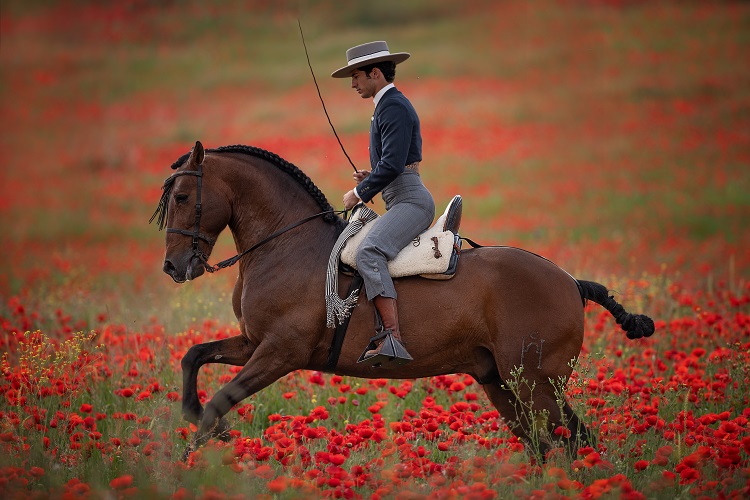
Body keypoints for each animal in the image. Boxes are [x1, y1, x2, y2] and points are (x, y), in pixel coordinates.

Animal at [151, 143, 652, 458]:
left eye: (182, 196)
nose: (173, 267)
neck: (287, 245)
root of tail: (569, 281)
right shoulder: (252, 345)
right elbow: (194, 356)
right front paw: (193, 418)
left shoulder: (280, 353)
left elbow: (219, 401)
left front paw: (200, 448)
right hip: (503, 383)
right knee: (546, 446)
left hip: (535, 384)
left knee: (572, 442)